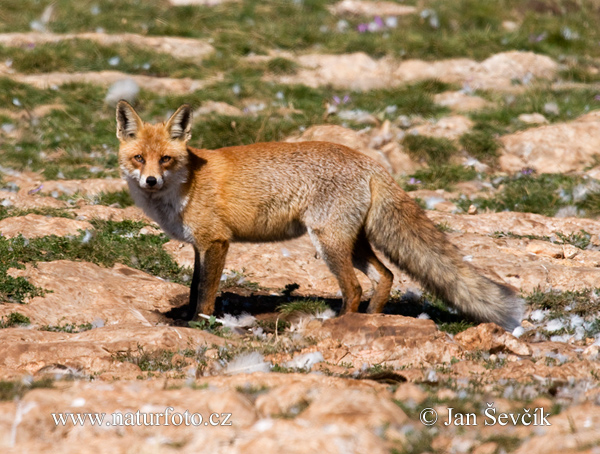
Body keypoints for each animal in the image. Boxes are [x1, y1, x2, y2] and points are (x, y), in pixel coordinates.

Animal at [115, 100, 524, 330]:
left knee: (355, 287)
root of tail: (369, 161)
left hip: (329, 242)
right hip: (353, 242)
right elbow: (193, 287)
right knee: (386, 276)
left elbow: (205, 293)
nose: (150, 180)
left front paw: (200, 325)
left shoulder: (216, 241)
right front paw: (187, 319)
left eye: (166, 159)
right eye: (139, 158)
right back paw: (370, 320)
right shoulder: (200, 246)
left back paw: (344, 323)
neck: (186, 185)